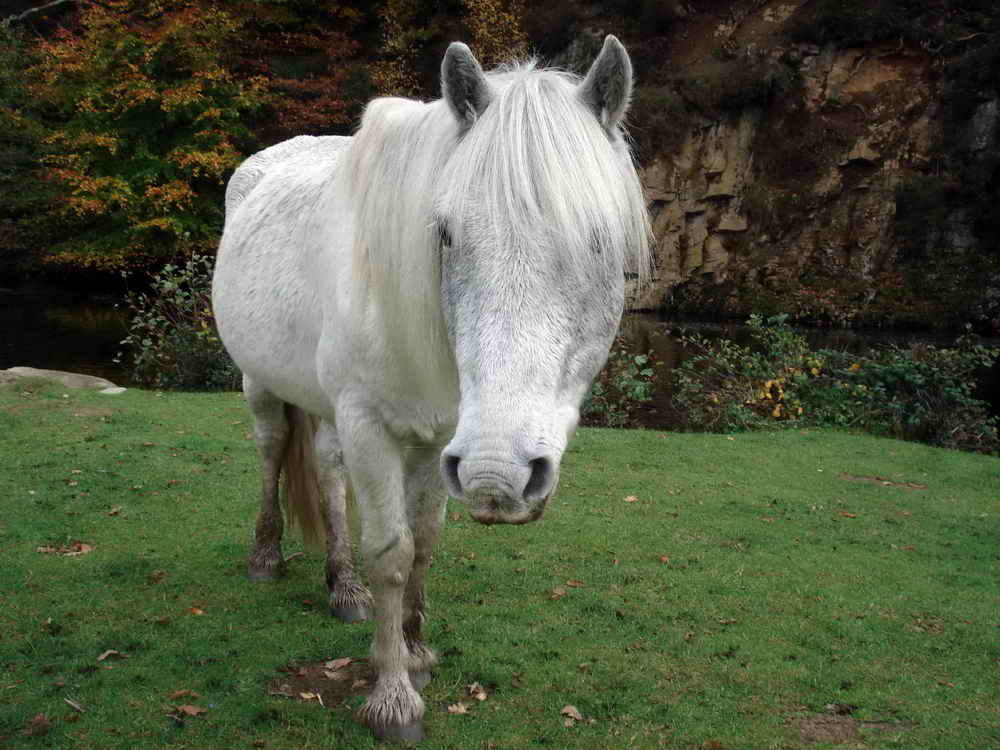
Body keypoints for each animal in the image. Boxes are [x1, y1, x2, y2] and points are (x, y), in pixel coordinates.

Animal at [212, 36, 651, 744]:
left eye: (600, 241)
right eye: (444, 234)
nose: (499, 477)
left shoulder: (438, 436)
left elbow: (426, 541)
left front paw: (414, 652)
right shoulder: (370, 426)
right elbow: (392, 552)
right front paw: (393, 699)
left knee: (328, 475)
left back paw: (343, 589)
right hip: (263, 387)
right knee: (273, 451)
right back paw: (266, 557)